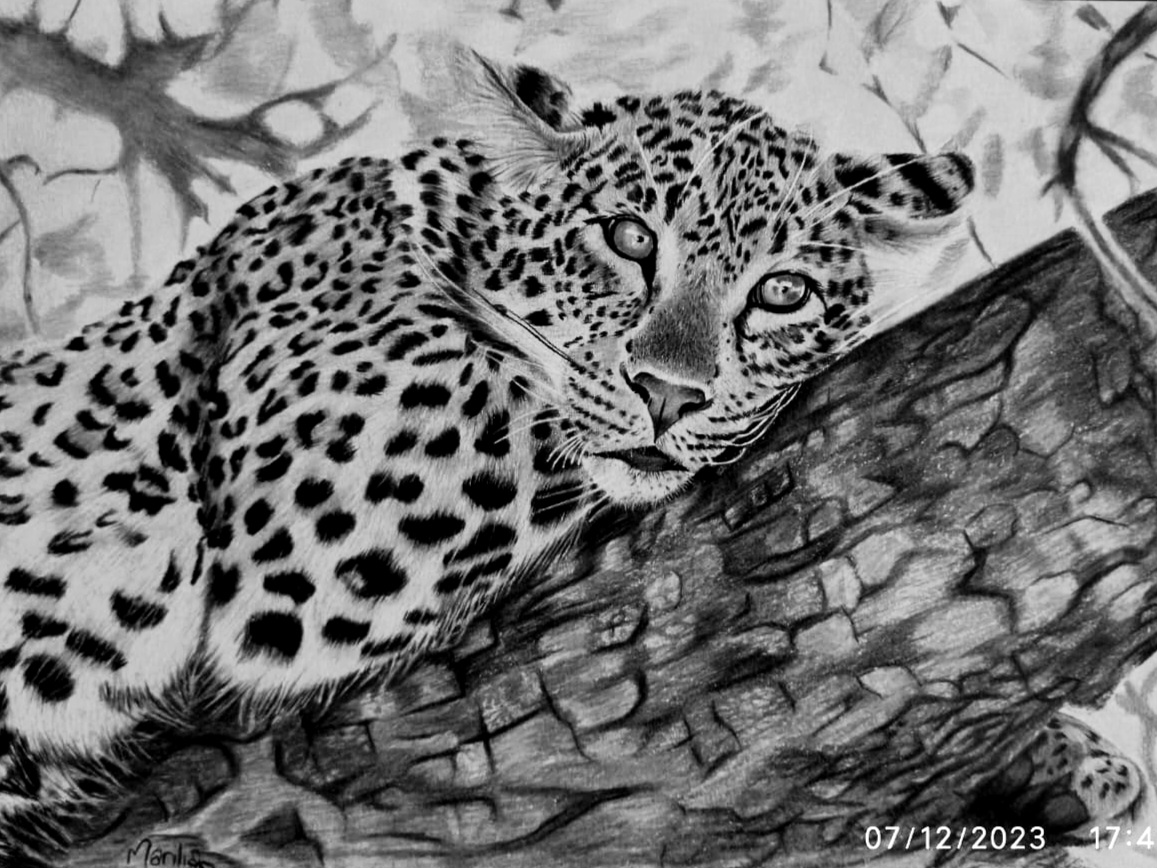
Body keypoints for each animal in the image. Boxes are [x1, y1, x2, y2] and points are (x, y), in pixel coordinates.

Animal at [0, 50, 1143, 863]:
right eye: (629, 238)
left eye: (781, 292)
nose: (672, 393)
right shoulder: (335, 503)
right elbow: (543, 413)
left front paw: (1065, 758)